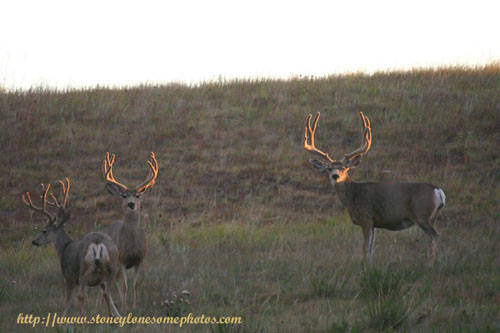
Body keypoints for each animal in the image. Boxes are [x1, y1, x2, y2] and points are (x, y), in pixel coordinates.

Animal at [23, 178, 121, 316]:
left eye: (44, 231)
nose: (34, 241)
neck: (64, 248)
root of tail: (97, 243)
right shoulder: (101, 280)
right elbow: (110, 298)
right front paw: (117, 315)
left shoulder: (68, 276)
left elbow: (67, 302)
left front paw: (62, 318)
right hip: (112, 267)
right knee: (107, 293)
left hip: (83, 270)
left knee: (81, 295)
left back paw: (83, 318)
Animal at [100, 152, 157, 310]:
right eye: (124, 195)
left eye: (137, 195)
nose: (131, 204)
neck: (131, 245)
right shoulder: (122, 260)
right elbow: (124, 286)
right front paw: (126, 308)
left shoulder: (139, 260)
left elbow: (135, 284)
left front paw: (135, 306)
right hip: (109, 262)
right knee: (106, 286)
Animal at [302, 111, 448, 262]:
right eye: (329, 168)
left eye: (344, 168)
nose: (335, 176)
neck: (353, 196)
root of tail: (439, 192)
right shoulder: (374, 224)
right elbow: (370, 249)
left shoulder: (366, 218)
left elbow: (365, 249)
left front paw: (365, 266)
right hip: (431, 216)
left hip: (422, 215)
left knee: (435, 236)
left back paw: (431, 262)